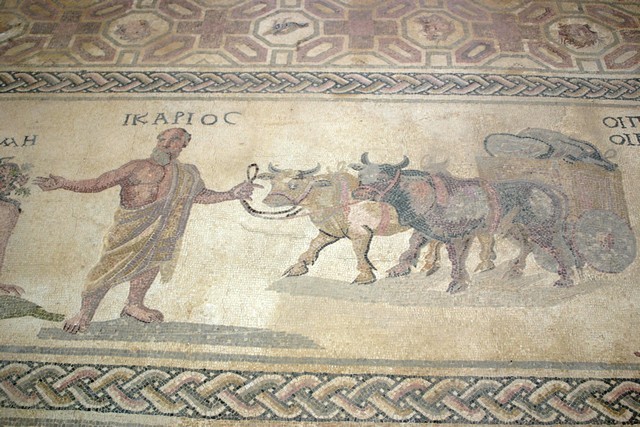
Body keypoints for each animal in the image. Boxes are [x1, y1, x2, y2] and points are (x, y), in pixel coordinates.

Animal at [351, 153, 576, 293]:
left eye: (381, 178)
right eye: (361, 175)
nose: (356, 193)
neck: (427, 195)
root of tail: (551, 191)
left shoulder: (456, 237)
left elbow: (456, 259)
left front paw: (457, 283)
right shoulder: (425, 230)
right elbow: (412, 246)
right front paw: (399, 269)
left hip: (542, 229)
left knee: (558, 249)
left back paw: (565, 280)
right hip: (515, 228)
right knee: (527, 245)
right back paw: (515, 271)